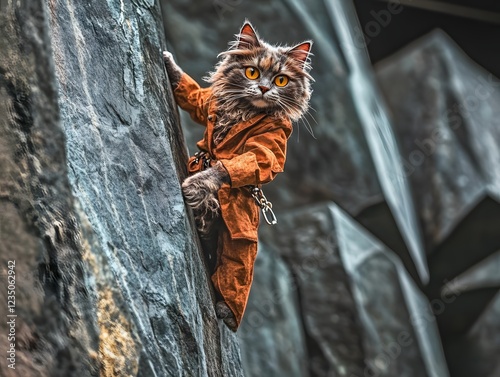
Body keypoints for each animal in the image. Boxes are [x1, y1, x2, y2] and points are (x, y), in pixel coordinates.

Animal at [164, 20, 312, 330]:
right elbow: (197, 97)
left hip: (241, 241)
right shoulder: (210, 105)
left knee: (236, 266)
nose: (264, 88)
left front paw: (195, 187)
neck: (243, 111)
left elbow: (234, 166)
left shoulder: (267, 148)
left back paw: (226, 310)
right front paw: (168, 62)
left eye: (281, 80)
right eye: (252, 72)